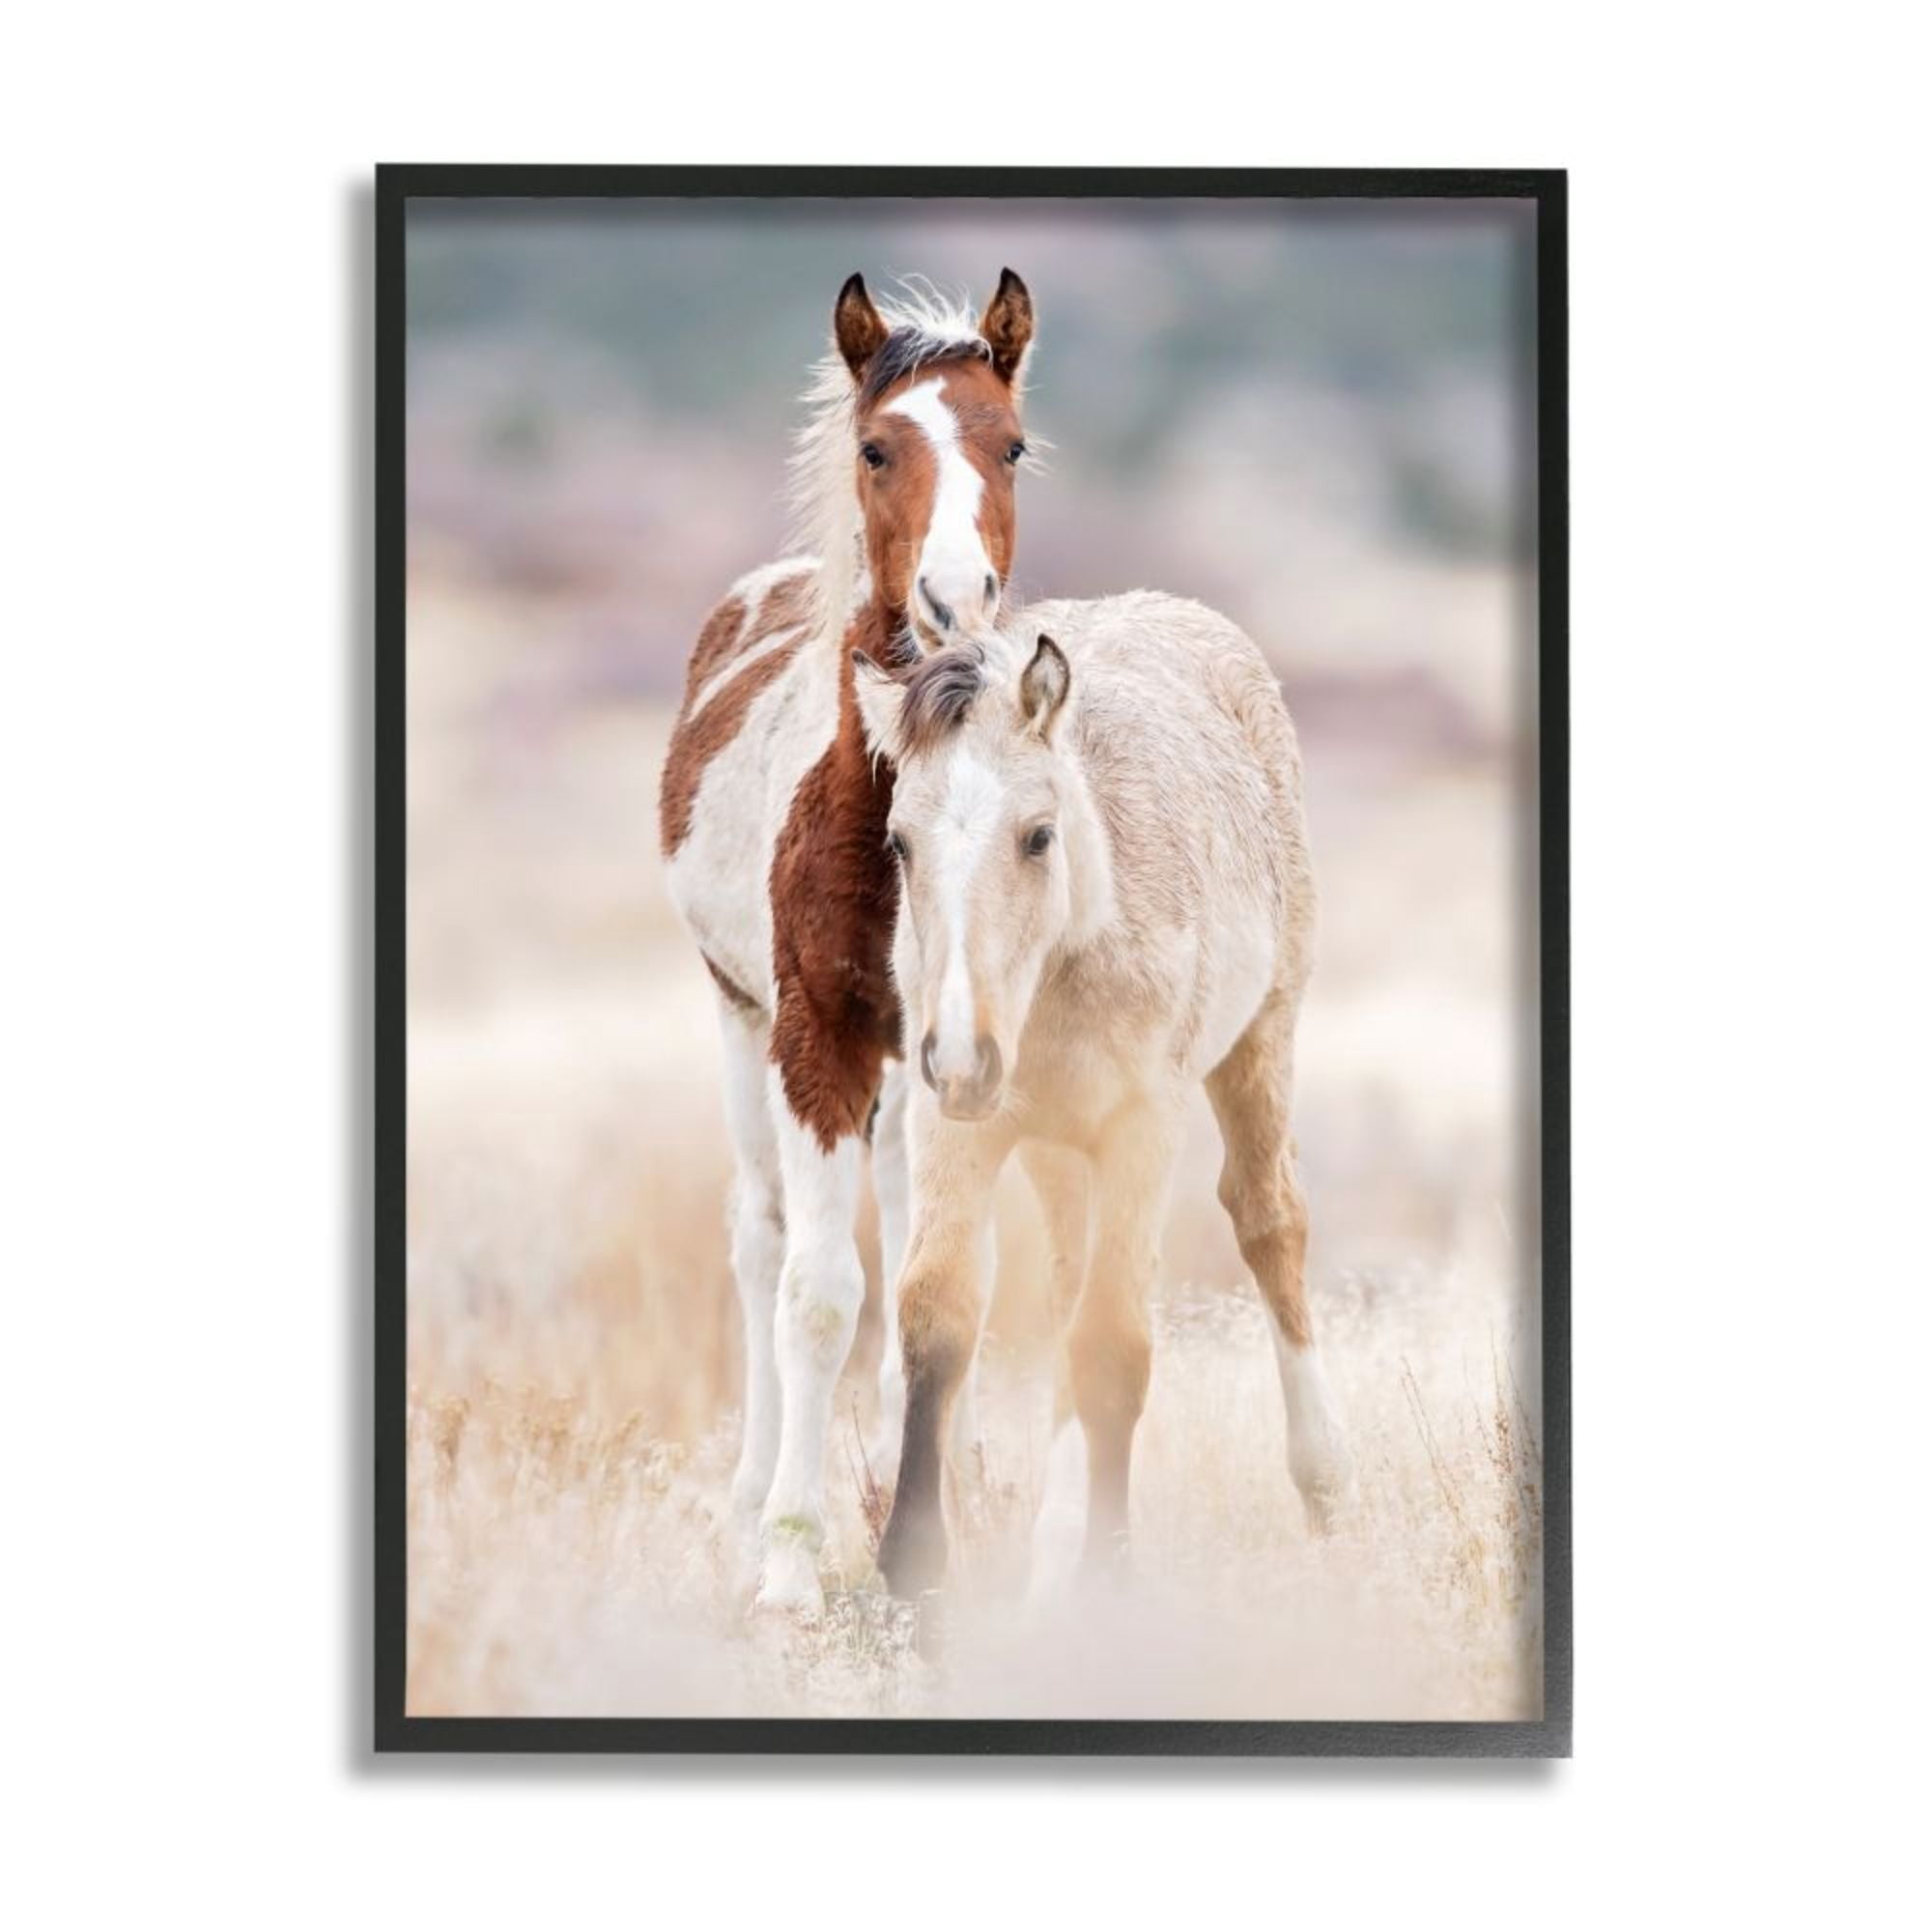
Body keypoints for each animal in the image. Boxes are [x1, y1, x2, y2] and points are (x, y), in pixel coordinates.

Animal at [657, 270, 1068, 1615]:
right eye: (877, 447)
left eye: (1010, 443)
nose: (953, 604)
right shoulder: (813, 1035)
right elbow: (819, 1291)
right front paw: (793, 1559)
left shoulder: (956, 1050)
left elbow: (936, 1288)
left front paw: (950, 1525)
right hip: (737, 1021)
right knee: (761, 1240)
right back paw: (753, 1509)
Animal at [852, 601, 1351, 1598]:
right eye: (900, 843)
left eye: (1038, 835)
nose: (961, 1055)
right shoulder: (955, 1126)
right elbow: (937, 1315)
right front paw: (916, 1572)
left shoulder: (1140, 1130)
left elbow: (1115, 1345)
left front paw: (1104, 1580)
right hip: (1054, 1151)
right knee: (1065, 1283)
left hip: (1262, 1039)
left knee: (1270, 1221)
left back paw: (1322, 1483)